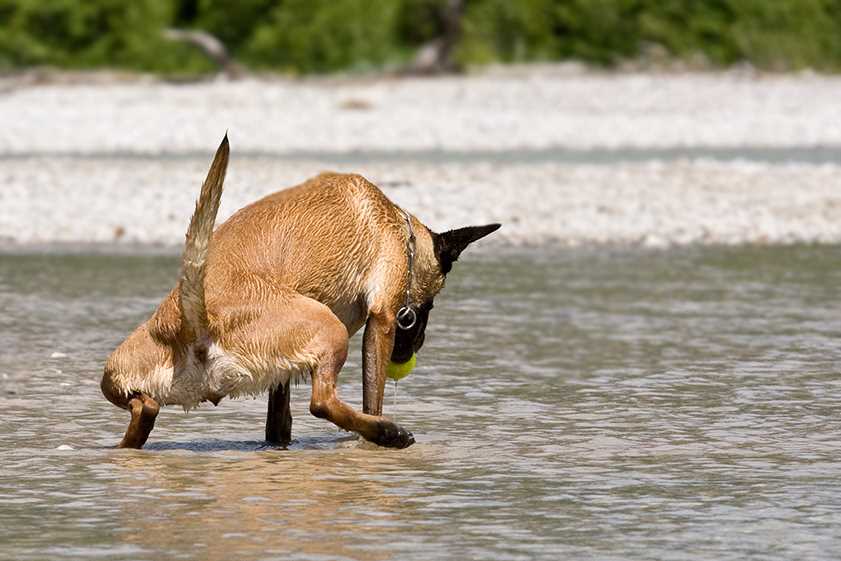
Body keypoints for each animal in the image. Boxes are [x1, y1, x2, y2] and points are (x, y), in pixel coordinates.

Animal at [103, 137, 498, 450]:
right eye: (426, 307)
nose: (414, 348)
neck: (403, 228)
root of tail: (195, 321)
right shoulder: (382, 319)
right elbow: (373, 395)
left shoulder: (281, 373)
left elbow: (278, 421)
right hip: (330, 329)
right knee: (321, 402)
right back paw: (388, 434)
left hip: (114, 375)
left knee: (143, 408)